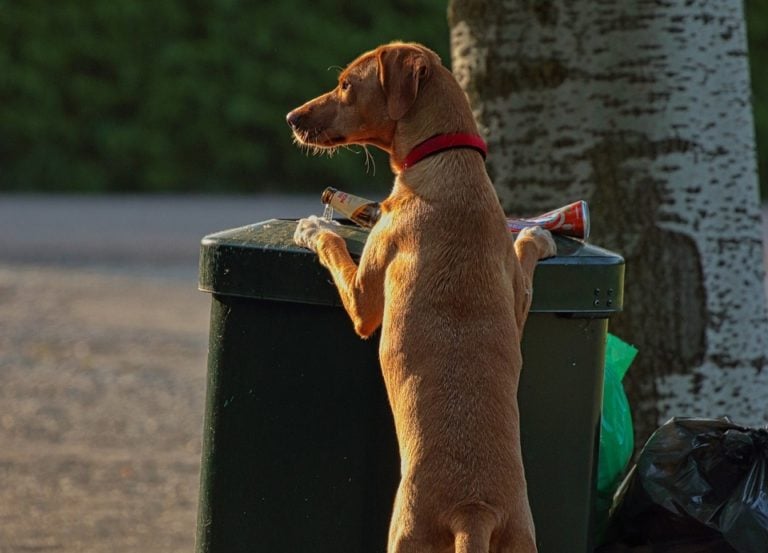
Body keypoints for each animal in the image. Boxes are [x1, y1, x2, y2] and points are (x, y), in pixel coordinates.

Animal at [284, 41, 556, 548]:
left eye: (346, 84)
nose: (292, 117)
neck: (446, 163)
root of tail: (473, 509)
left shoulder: (364, 301)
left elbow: (333, 248)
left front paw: (315, 228)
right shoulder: (514, 295)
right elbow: (524, 264)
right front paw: (536, 234)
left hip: (404, 535)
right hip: (521, 538)